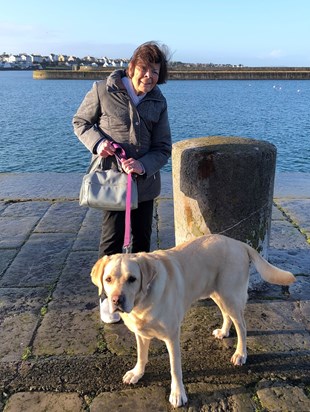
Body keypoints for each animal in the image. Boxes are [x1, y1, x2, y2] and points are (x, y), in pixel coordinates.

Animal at [90, 233, 296, 408]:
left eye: (132, 279)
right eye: (108, 279)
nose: (116, 300)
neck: (143, 301)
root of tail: (239, 243)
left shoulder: (172, 336)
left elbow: (175, 368)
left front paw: (178, 394)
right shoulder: (141, 334)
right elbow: (141, 355)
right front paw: (137, 373)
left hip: (230, 296)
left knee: (242, 327)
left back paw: (240, 354)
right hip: (217, 293)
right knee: (226, 315)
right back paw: (224, 332)